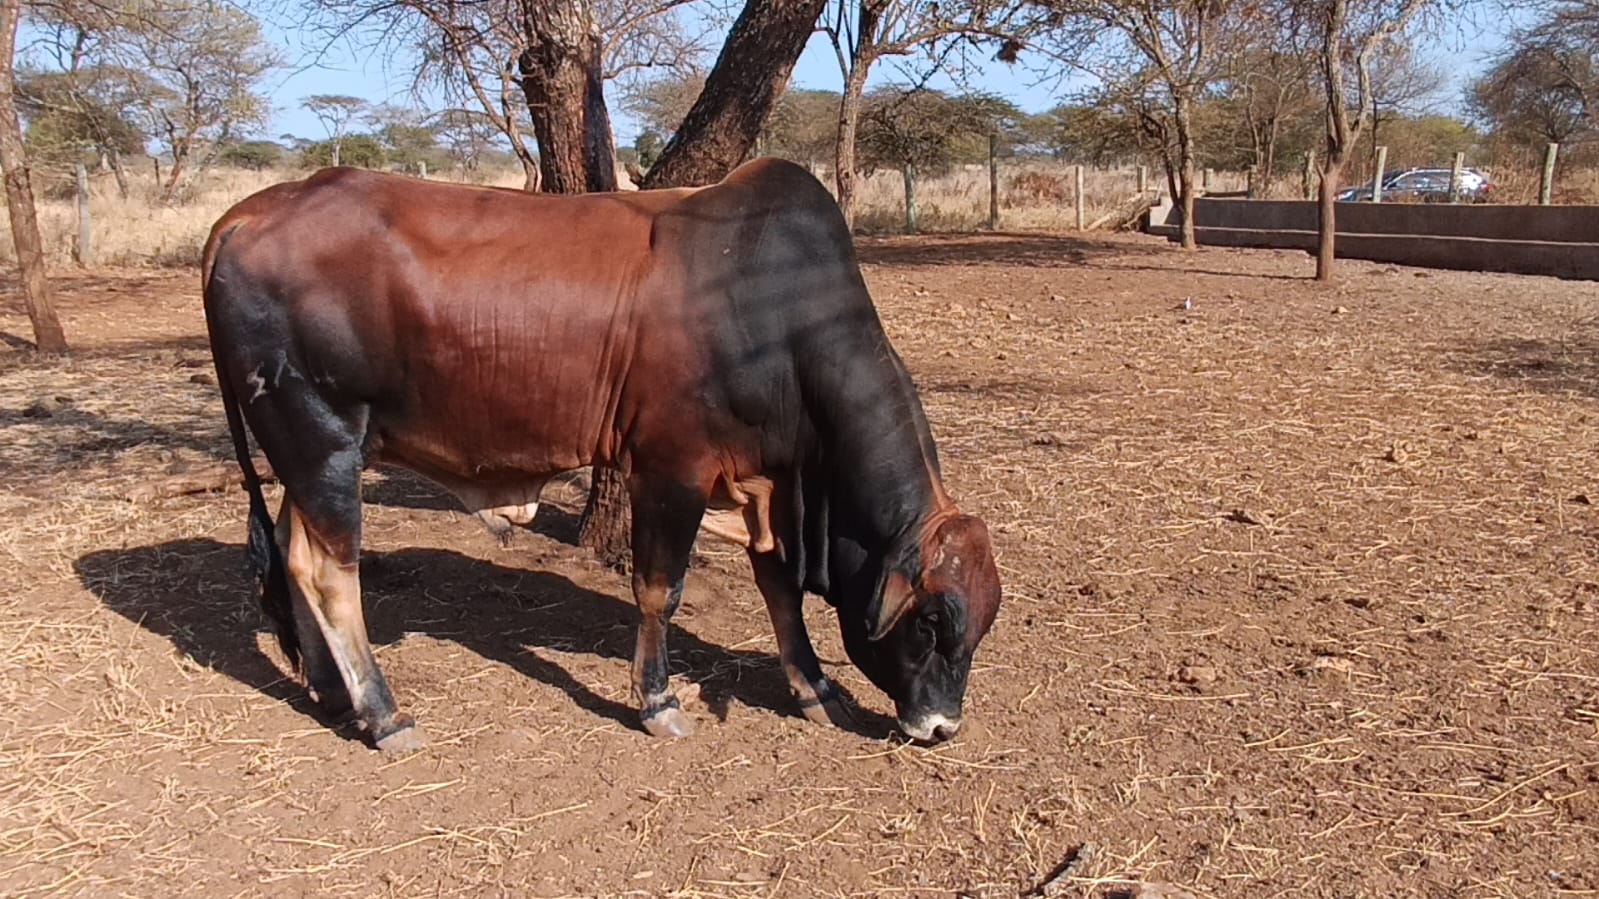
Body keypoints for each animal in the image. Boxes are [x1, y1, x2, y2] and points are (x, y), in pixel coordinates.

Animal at [201, 159, 1001, 752]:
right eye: (933, 622)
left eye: (982, 623)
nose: (941, 727)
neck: (773, 312)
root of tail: (247, 214)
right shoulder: (671, 467)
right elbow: (659, 589)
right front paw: (657, 701)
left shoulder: (765, 483)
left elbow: (779, 588)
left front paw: (814, 687)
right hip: (323, 440)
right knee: (330, 571)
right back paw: (383, 712)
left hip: (307, 456)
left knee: (292, 553)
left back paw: (332, 691)